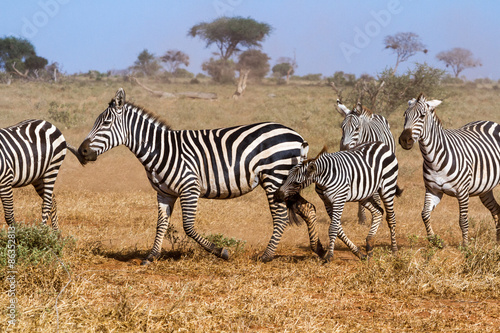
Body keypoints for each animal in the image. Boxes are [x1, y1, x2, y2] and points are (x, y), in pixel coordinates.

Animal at [74, 89, 324, 264]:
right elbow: (160, 225)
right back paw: (319, 250)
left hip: (275, 178)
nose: (82, 151)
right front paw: (151, 256)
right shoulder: (164, 193)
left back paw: (266, 256)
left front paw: (221, 251)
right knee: (309, 208)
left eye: (106, 123)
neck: (160, 149)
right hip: (288, 183)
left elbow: (188, 227)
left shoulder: (189, 188)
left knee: (281, 217)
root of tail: (297, 136)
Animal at [274, 140, 402, 260]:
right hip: (364, 195)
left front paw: (329, 256)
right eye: (286, 176)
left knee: (391, 218)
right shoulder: (327, 202)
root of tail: (381, 144)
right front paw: (359, 253)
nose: (278, 195)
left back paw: (394, 251)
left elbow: (333, 228)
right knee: (378, 212)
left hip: (388, 187)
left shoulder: (339, 200)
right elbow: (338, 230)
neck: (323, 178)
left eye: (297, 183)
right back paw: (369, 246)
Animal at [398, 92, 500, 245]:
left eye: (422, 116)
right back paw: (498, 240)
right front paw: (435, 241)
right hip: (485, 188)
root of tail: (491, 122)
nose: (405, 140)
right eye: (405, 114)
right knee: (496, 209)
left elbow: (463, 220)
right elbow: (424, 214)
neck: (434, 160)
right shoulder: (433, 190)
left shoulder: (463, 192)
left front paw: (465, 246)